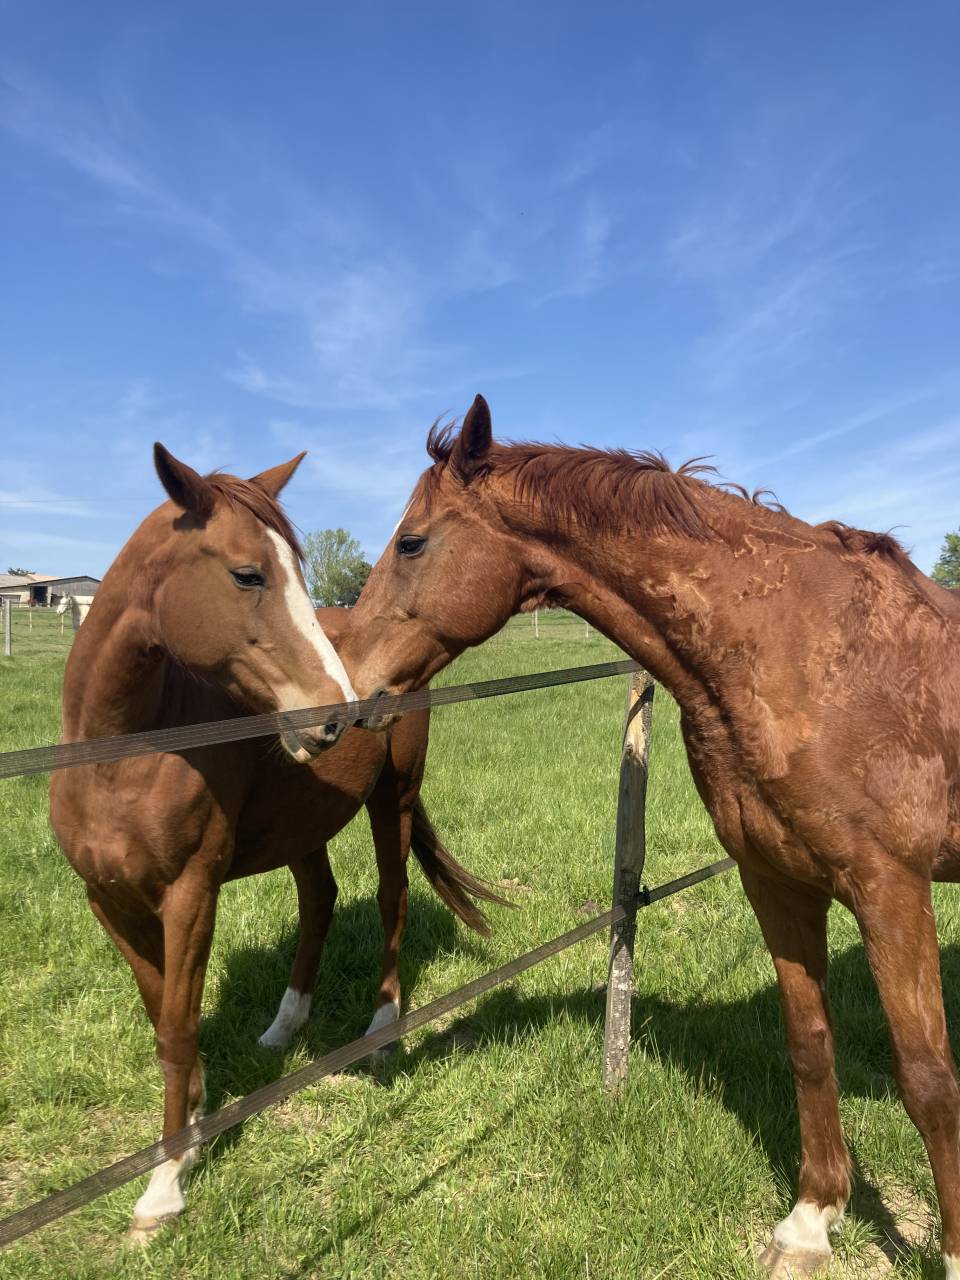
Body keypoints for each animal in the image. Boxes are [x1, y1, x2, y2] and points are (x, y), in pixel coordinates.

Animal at [48, 443, 503, 1244]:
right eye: (247, 575)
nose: (336, 711)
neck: (117, 759)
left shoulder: (191, 895)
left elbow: (176, 1026)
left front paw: (165, 1182)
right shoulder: (110, 902)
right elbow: (162, 1014)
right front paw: (196, 1119)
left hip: (393, 799)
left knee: (391, 897)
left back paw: (384, 1027)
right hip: (303, 823)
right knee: (319, 901)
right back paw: (284, 1027)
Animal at [338, 394, 960, 1279]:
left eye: (412, 541)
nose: (348, 689)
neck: (799, 651)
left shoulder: (891, 890)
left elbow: (928, 1080)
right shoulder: (777, 883)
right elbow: (810, 1045)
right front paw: (811, 1222)